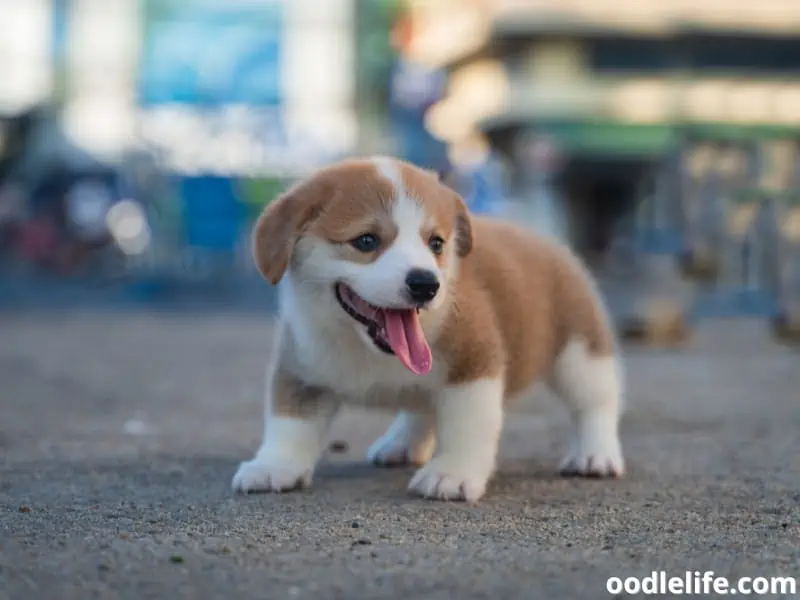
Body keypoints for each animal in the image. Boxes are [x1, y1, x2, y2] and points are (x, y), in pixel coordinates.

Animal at [231, 156, 624, 502]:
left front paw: (453, 473)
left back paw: (596, 455)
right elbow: (289, 424)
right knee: (420, 408)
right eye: (366, 241)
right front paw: (273, 466)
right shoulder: (301, 371)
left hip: (580, 354)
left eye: (436, 243)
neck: (366, 348)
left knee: (595, 403)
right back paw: (402, 444)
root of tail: (546, 241)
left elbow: (466, 425)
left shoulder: (473, 367)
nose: (425, 284)